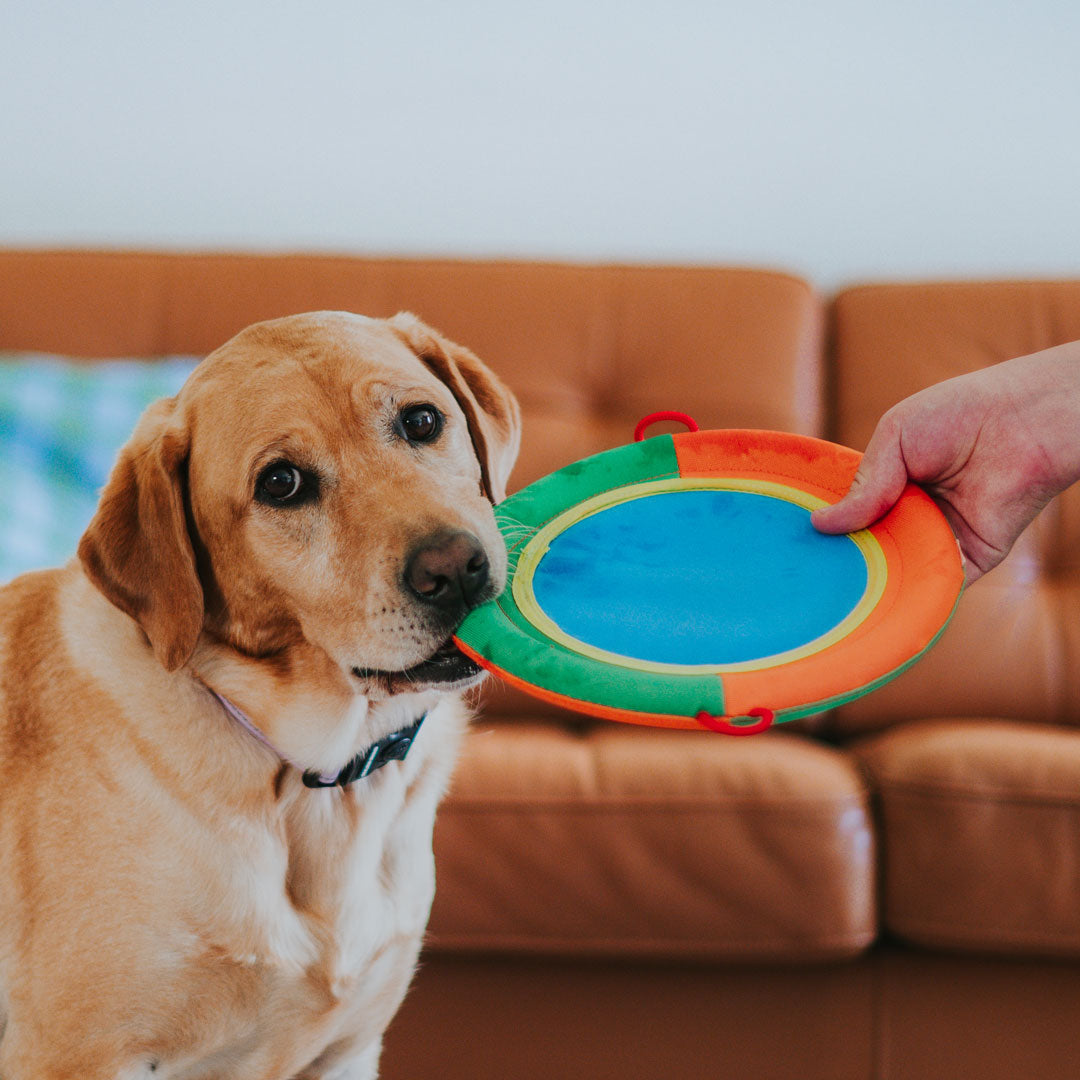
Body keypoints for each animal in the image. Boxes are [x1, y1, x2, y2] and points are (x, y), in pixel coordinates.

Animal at [0, 308, 518, 1075]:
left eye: (422, 421)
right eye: (281, 483)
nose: (455, 569)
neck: (315, 779)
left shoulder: (350, 1050)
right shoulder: (73, 1054)